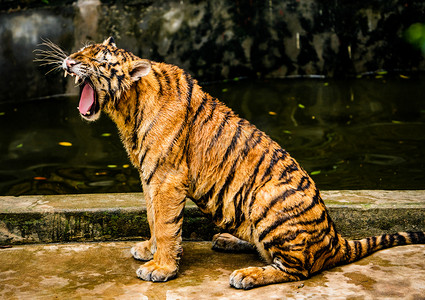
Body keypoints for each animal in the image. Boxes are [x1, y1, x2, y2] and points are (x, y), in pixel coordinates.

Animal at [36, 36, 424, 290]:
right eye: (80, 50)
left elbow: (165, 223)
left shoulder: (166, 177)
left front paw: (161, 268)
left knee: (298, 269)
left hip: (268, 199)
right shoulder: (149, 175)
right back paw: (226, 240)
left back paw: (247, 275)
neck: (126, 108)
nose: (69, 61)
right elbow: (152, 216)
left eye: (99, 59)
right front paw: (149, 250)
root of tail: (335, 237)